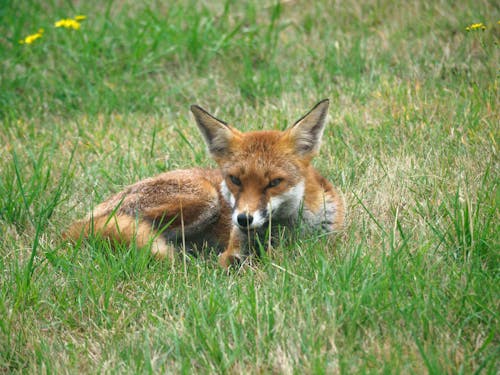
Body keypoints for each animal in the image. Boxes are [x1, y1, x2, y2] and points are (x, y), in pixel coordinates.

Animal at [64, 100, 346, 268]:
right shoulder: (233, 247)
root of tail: (78, 223)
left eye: (274, 182)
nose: (243, 220)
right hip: (204, 198)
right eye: (235, 180)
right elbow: (233, 259)